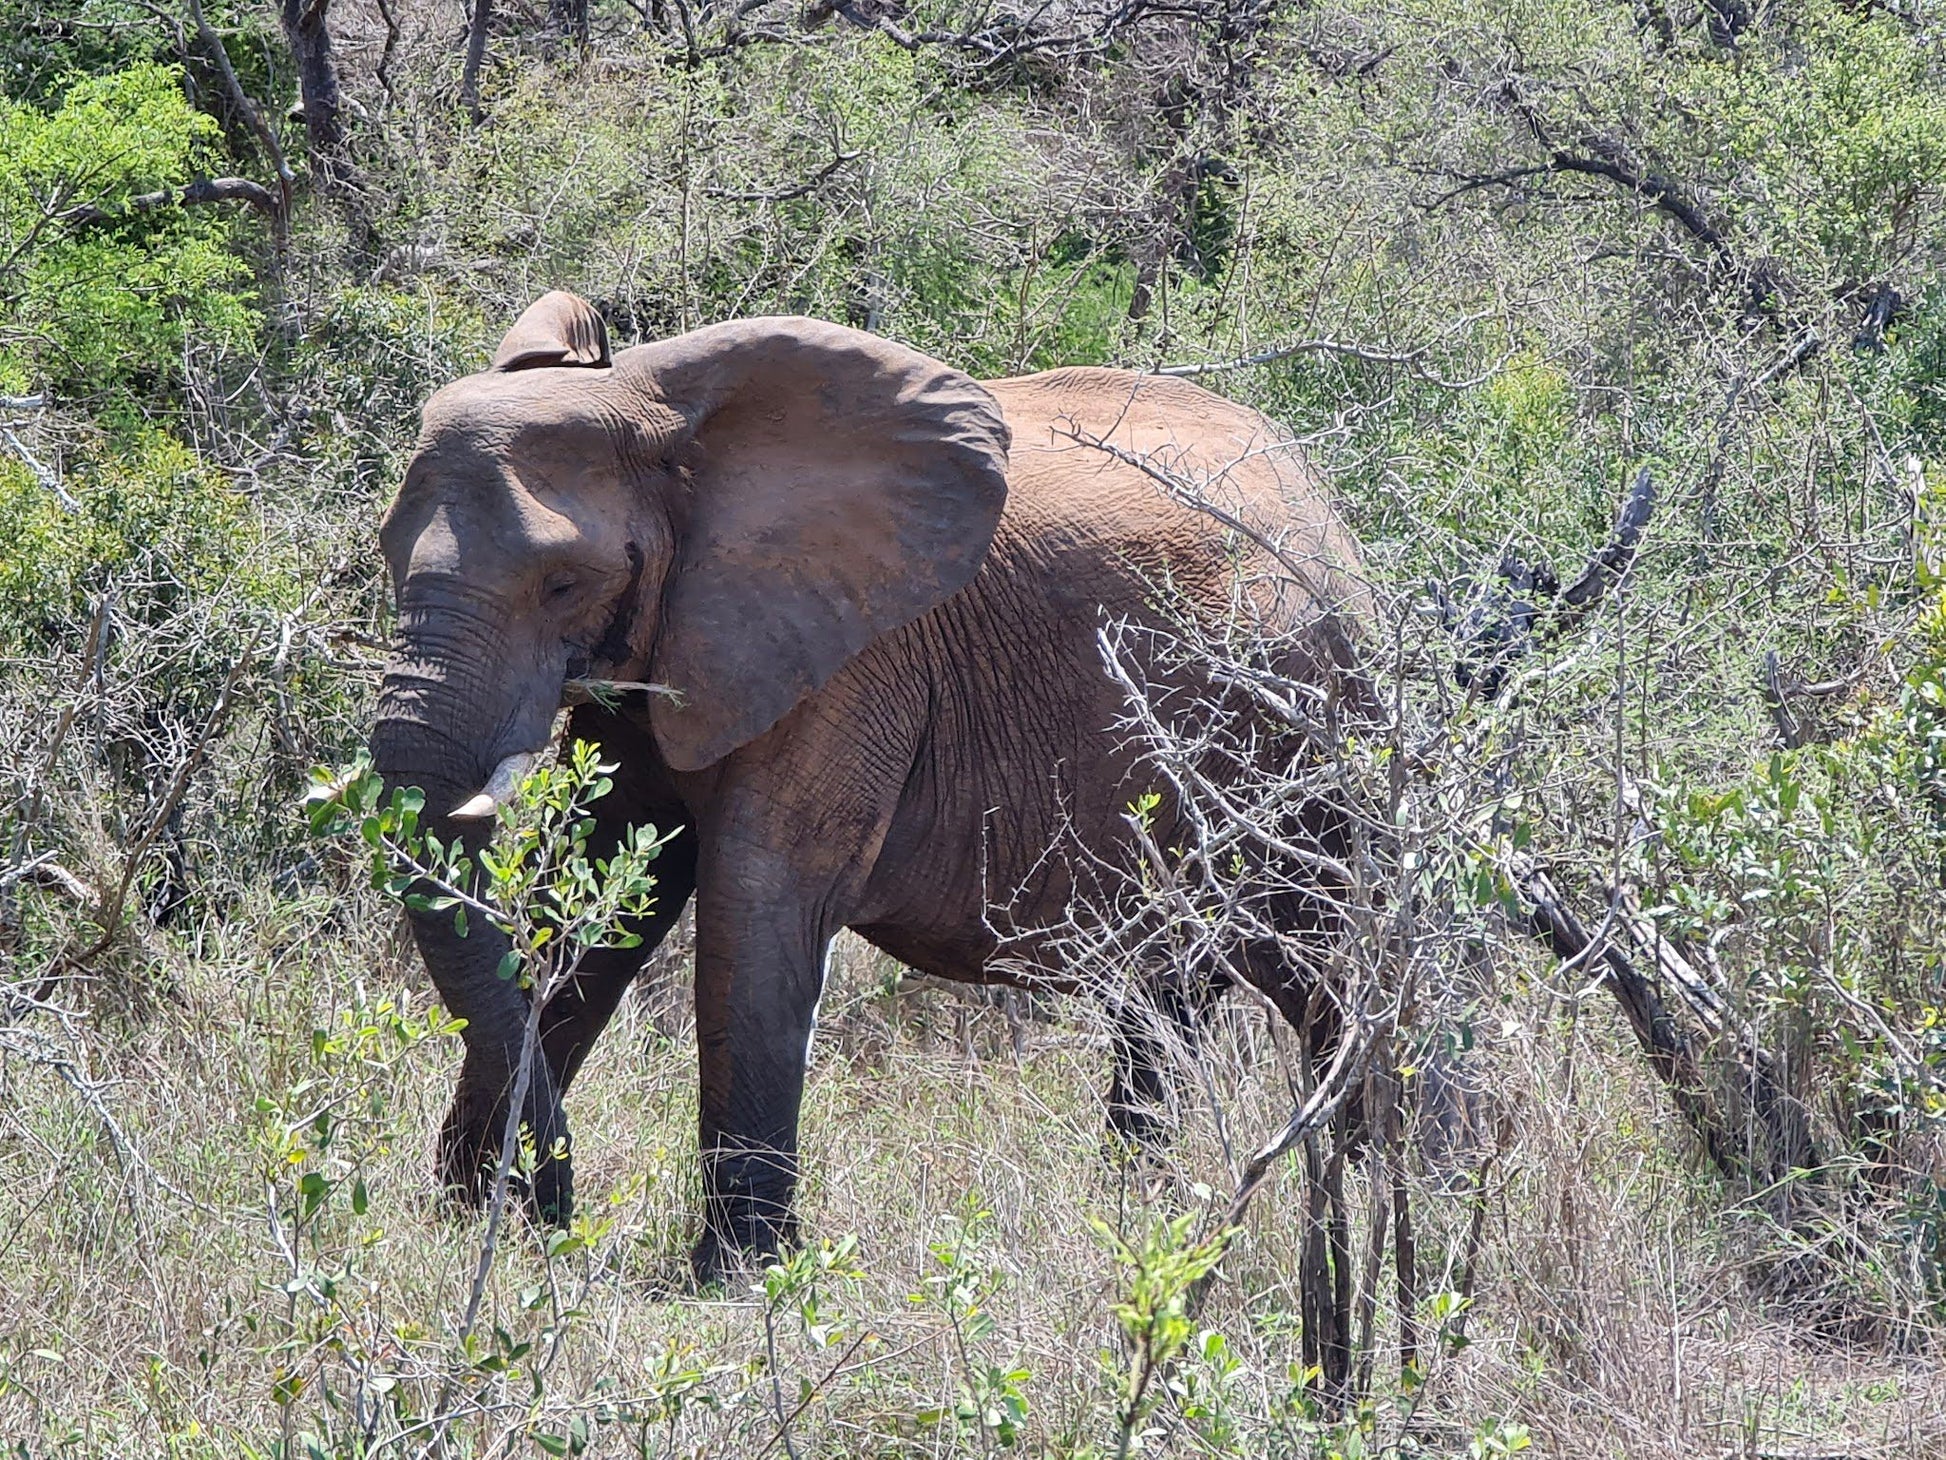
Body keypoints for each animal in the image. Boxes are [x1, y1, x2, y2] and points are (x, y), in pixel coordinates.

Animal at [371, 288, 1362, 1277]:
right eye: (387, 555)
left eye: (564, 583)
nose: (556, 1205)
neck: (659, 410)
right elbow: (606, 883)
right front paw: (473, 1220)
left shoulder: (853, 654)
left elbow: (757, 900)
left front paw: (740, 1277)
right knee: (1168, 999)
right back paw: (1143, 1220)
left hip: (1316, 744)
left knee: (1326, 984)